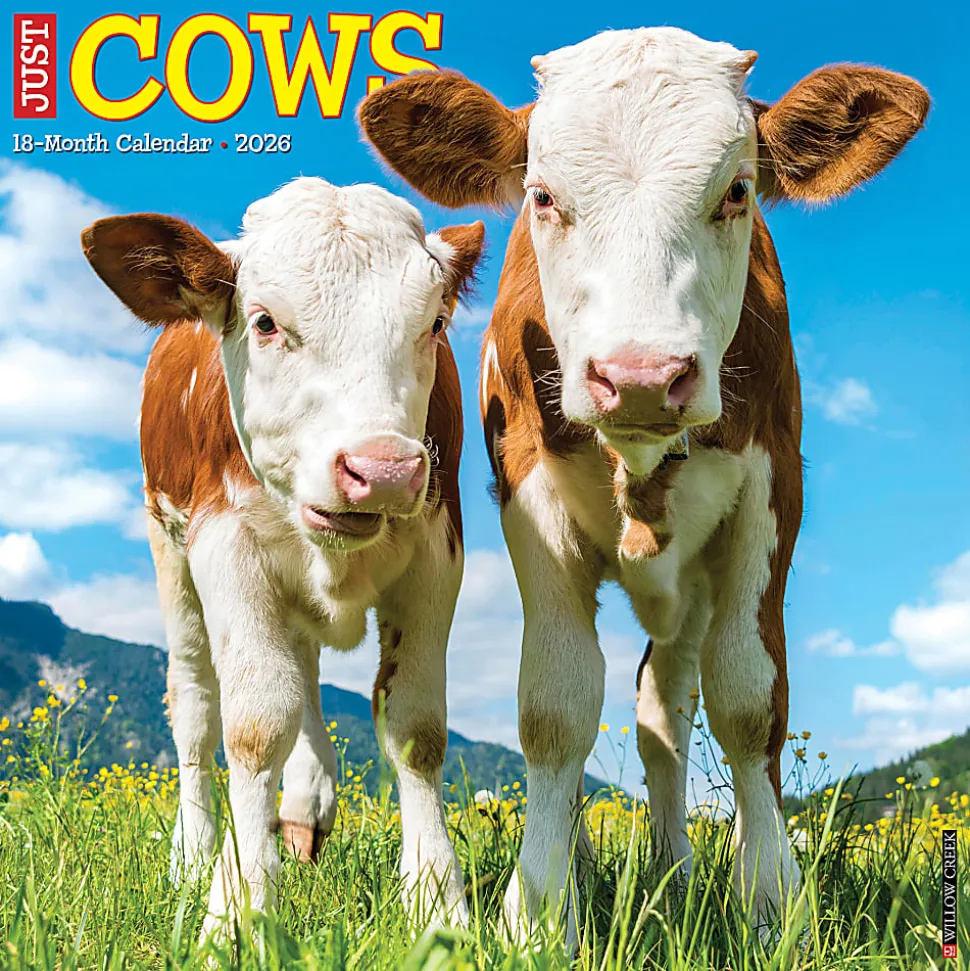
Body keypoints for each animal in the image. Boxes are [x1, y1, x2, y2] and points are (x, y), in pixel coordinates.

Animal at [81, 178, 484, 937]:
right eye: (265, 321)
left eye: (436, 323)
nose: (383, 470)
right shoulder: (224, 546)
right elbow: (255, 724)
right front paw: (237, 904)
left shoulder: (437, 550)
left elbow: (416, 726)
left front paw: (436, 898)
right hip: (168, 552)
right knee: (196, 704)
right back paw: (197, 853)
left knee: (303, 670)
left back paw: (301, 804)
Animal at [359, 27, 928, 943]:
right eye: (543, 196)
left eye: (737, 190)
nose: (639, 376)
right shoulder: (529, 494)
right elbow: (555, 706)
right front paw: (541, 906)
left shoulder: (772, 493)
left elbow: (747, 699)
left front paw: (771, 902)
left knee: (665, 710)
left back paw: (672, 868)